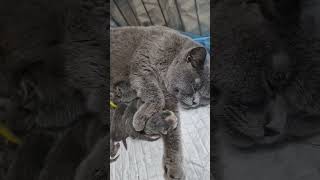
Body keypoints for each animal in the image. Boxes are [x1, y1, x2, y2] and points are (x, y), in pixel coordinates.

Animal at [110, 26, 210, 179]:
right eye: (195, 86)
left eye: (205, 99)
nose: (195, 102)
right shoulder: (142, 69)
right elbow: (157, 96)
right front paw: (140, 120)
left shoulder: (170, 100)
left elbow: (174, 135)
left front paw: (174, 167)